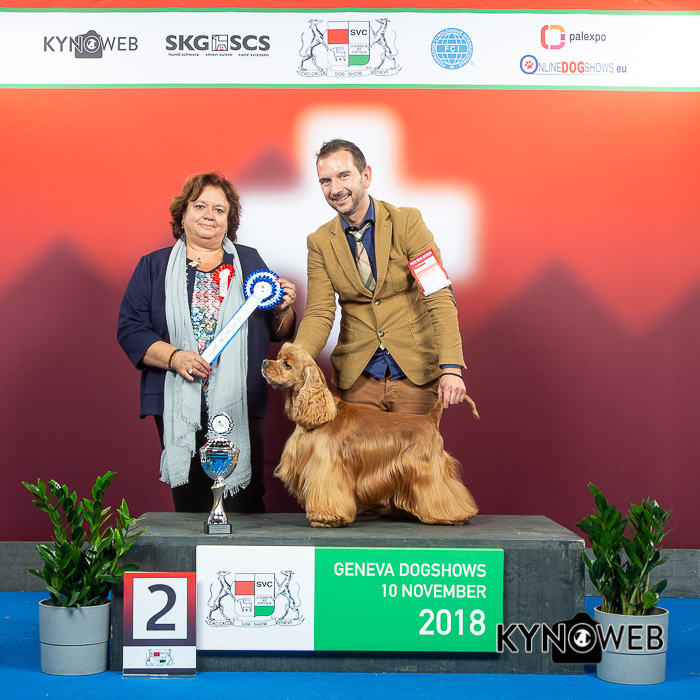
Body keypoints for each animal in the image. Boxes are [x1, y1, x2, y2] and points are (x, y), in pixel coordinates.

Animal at [262, 343, 479, 528]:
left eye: (287, 364)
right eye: (278, 357)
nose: (264, 362)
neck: (323, 413)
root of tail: (430, 417)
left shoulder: (328, 465)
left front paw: (327, 518)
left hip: (429, 467)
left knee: (445, 491)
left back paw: (455, 516)